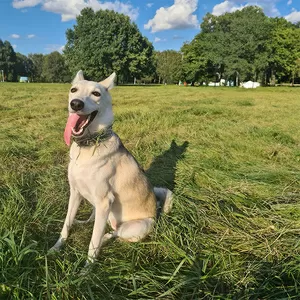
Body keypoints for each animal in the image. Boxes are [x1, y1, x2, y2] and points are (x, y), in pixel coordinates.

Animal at [50, 70, 172, 262]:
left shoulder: (104, 202)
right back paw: (83, 223)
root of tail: (157, 211)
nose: (75, 103)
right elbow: (66, 224)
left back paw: (106, 238)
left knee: (113, 233)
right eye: (73, 90)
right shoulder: (75, 193)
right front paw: (56, 248)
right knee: (95, 222)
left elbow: (93, 242)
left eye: (96, 93)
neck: (89, 145)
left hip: (137, 226)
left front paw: (87, 268)